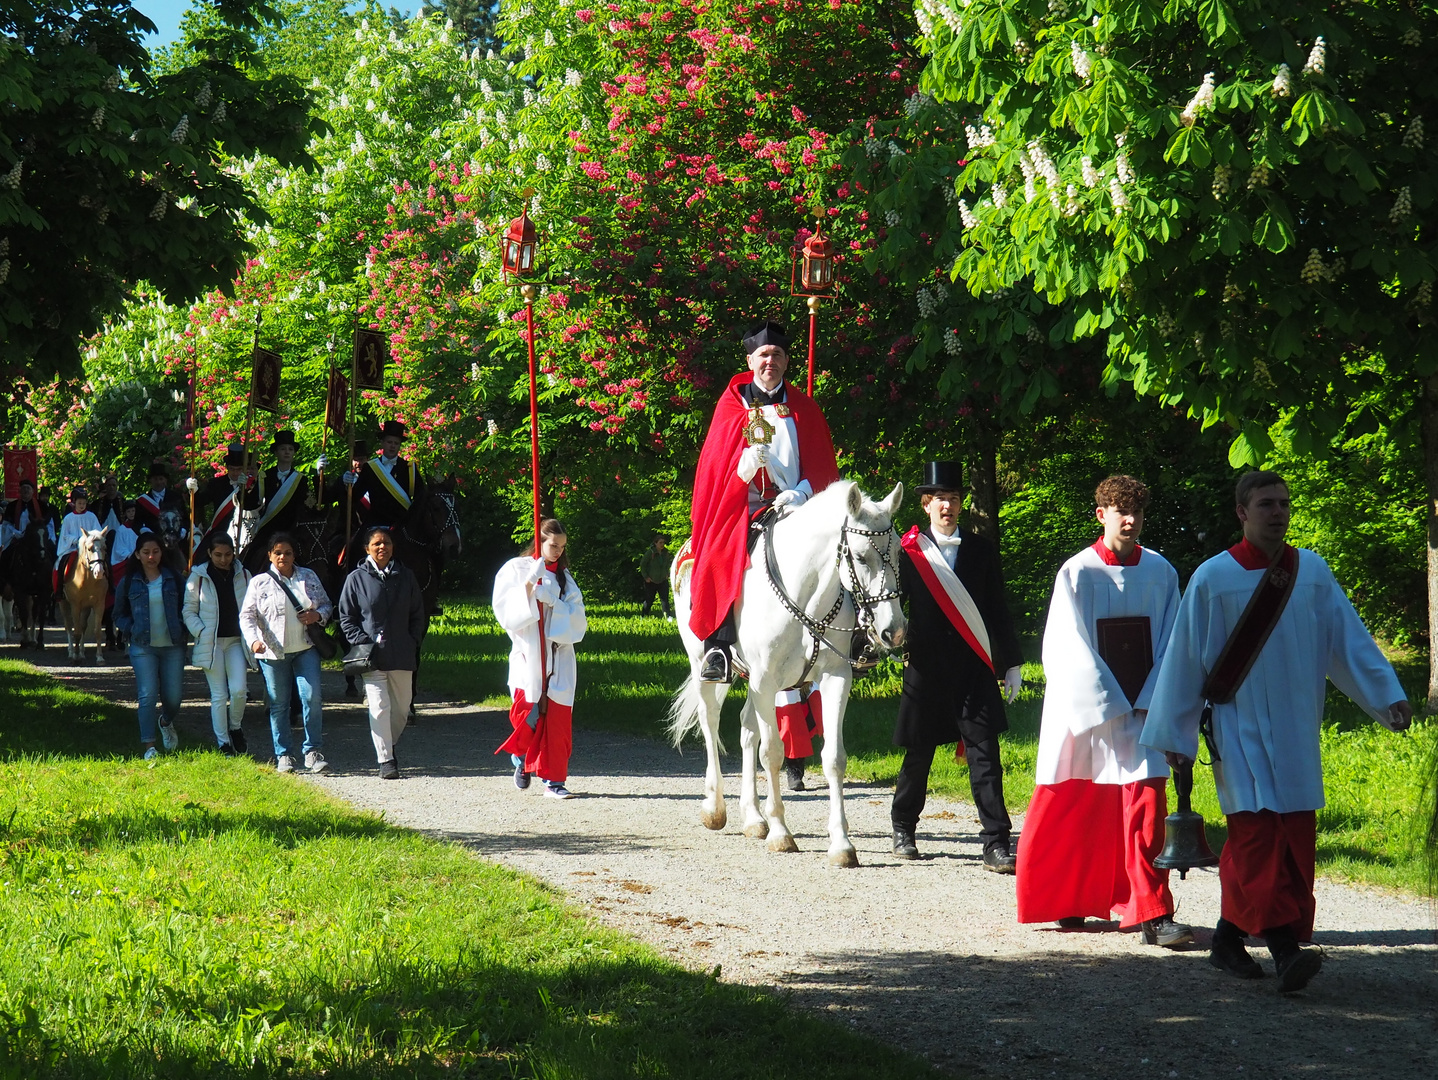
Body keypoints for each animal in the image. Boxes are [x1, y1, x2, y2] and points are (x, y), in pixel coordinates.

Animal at [60, 529, 110, 664]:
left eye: (105, 548)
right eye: (89, 548)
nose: (99, 572)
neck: (87, 579)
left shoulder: (99, 604)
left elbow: (97, 631)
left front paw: (99, 657)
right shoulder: (75, 605)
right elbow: (76, 632)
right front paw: (75, 657)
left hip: (85, 608)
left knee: (83, 626)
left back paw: (82, 652)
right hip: (63, 604)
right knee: (68, 626)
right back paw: (71, 652)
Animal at [667, 477, 903, 868]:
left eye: (899, 552)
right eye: (858, 556)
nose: (893, 631)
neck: (807, 594)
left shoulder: (835, 678)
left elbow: (833, 758)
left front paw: (841, 844)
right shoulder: (766, 681)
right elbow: (773, 753)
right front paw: (780, 832)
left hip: (754, 683)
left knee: (747, 729)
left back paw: (753, 817)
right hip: (705, 662)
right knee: (710, 721)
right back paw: (715, 807)